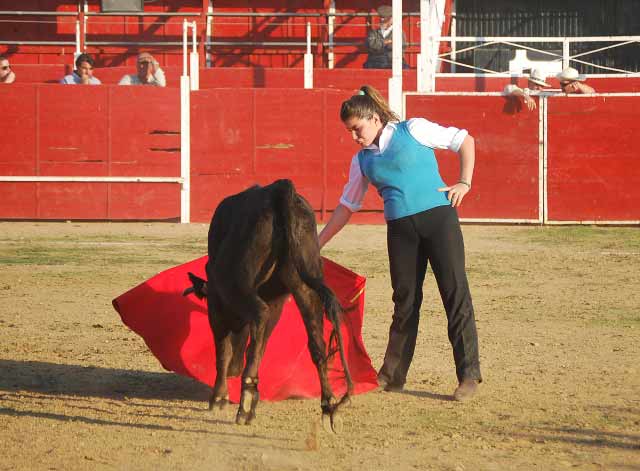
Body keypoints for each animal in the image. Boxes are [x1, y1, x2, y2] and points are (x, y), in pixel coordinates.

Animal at [185, 179, 352, 434]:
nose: (235, 369)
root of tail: (279, 190)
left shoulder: (217, 303)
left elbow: (223, 350)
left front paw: (219, 398)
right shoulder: (277, 303)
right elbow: (259, 345)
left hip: (236, 283)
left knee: (259, 314)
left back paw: (244, 404)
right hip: (305, 284)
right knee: (317, 343)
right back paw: (329, 407)